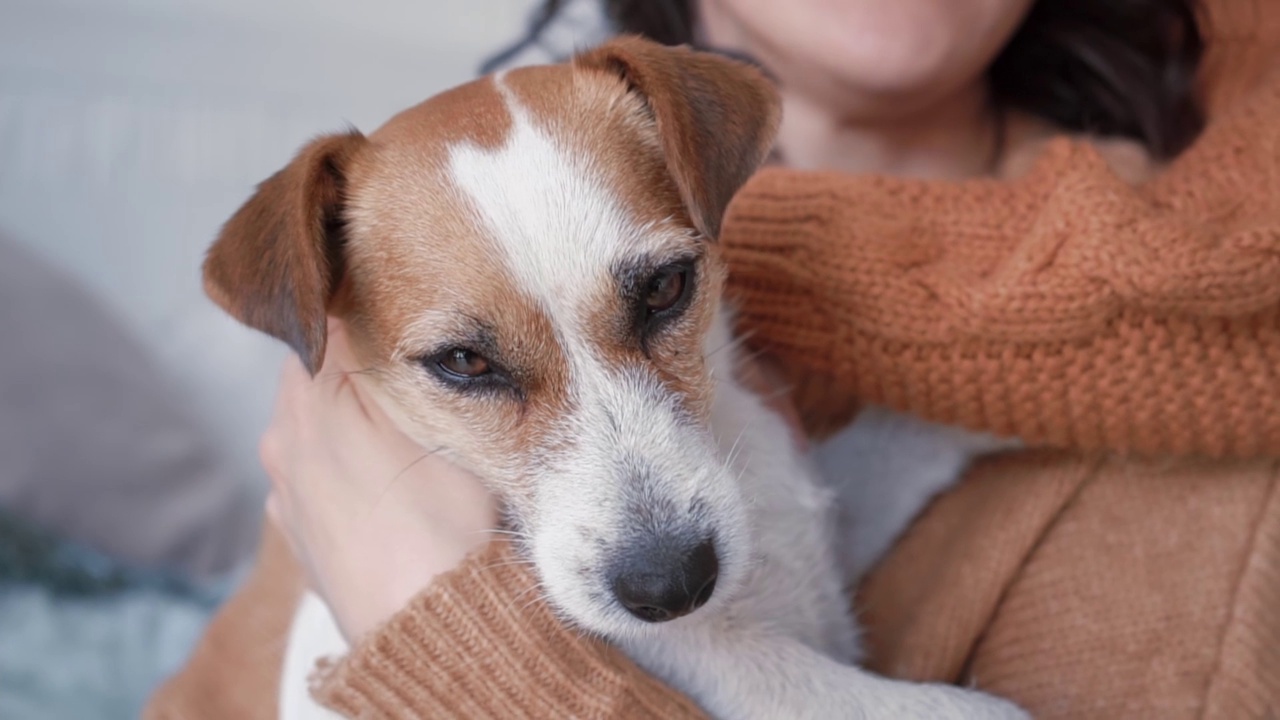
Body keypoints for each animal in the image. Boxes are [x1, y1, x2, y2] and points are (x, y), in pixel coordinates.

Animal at [202, 35, 1029, 717]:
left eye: (664, 287)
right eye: (462, 362)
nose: (673, 585)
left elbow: (907, 437)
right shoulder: (739, 670)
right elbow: (952, 708)